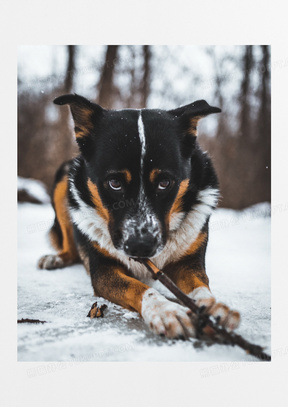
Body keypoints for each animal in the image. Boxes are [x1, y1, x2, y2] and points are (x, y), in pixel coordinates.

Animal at [38, 94, 241, 340]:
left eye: (165, 183)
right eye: (114, 183)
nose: (141, 246)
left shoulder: (188, 262)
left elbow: (201, 285)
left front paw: (214, 308)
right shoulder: (103, 270)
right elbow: (139, 287)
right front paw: (166, 310)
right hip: (63, 178)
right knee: (70, 246)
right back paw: (56, 258)